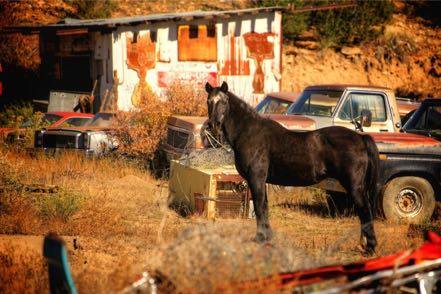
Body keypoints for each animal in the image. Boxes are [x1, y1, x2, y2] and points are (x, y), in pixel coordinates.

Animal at [205, 81, 380, 255]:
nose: (213, 125)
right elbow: (264, 207)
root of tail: (360, 138)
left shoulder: (256, 178)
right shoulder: (262, 181)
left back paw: (369, 248)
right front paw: (267, 237)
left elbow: (259, 207)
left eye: (223, 102)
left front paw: (260, 238)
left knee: (365, 210)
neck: (250, 133)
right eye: (209, 101)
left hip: (354, 185)